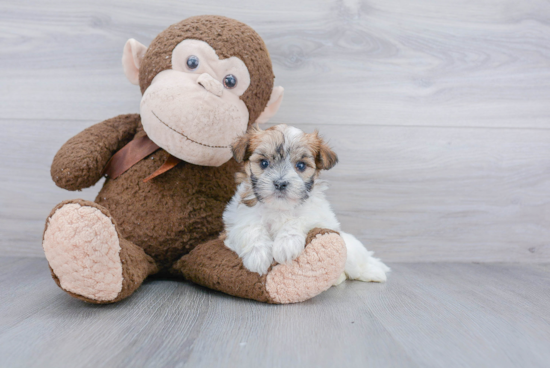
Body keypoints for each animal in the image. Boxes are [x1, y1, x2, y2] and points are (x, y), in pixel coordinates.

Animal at [222, 125, 390, 284]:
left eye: (301, 165)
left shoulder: (323, 218)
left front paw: (286, 244)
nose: (280, 183)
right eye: (264, 163)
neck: (280, 208)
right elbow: (250, 227)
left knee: (357, 263)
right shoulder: (234, 222)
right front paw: (258, 255)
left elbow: (299, 219)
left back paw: (374, 272)